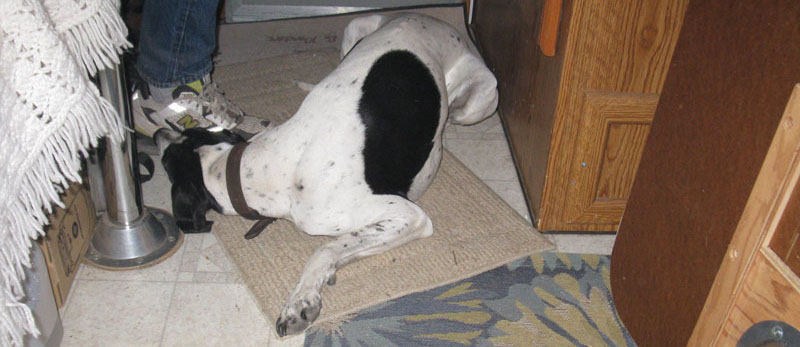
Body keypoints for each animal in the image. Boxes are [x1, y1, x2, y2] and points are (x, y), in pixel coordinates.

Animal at [155, 13, 494, 338]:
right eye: (191, 133)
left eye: (167, 162)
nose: (158, 132)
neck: (274, 167)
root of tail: (432, 20)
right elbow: (341, 247)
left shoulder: (408, 216)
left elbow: (325, 248)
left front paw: (301, 299)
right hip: (353, 31)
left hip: (479, 99)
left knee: (455, 114)